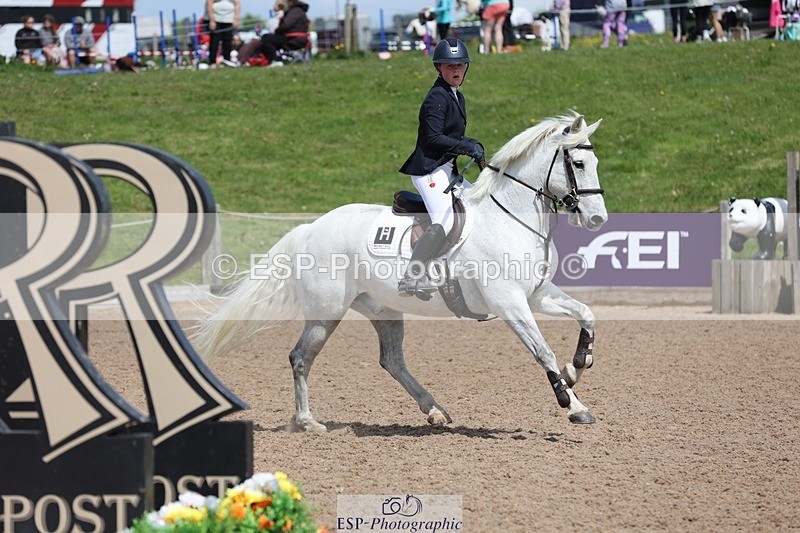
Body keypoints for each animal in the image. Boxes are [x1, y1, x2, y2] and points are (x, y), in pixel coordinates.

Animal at [193, 113, 607, 432]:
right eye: (579, 164)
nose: (597, 219)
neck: (510, 218)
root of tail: (310, 228)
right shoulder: (509, 302)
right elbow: (542, 350)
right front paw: (572, 404)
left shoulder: (536, 293)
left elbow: (586, 314)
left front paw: (577, 366)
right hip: (327, 312)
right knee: (300, 358)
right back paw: (307, 421)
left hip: (383, 309)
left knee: (391, 360)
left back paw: (434, 410)